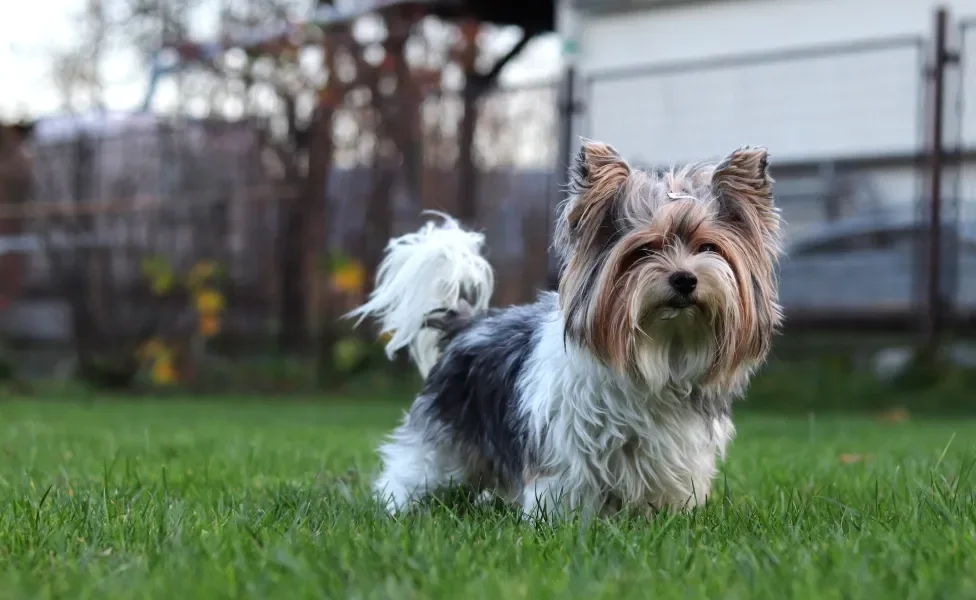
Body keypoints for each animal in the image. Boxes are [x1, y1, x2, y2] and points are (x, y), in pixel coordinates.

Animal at [346, 141, 780, 520]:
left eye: (708, 247)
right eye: (644, 251)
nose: (685, 279)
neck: (660, 351)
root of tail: (470, 323)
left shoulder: (674, 453)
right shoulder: (566, 448)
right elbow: (564, 489)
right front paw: (562, 524)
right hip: (443, 438)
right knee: (412, 470)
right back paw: (397, 507)